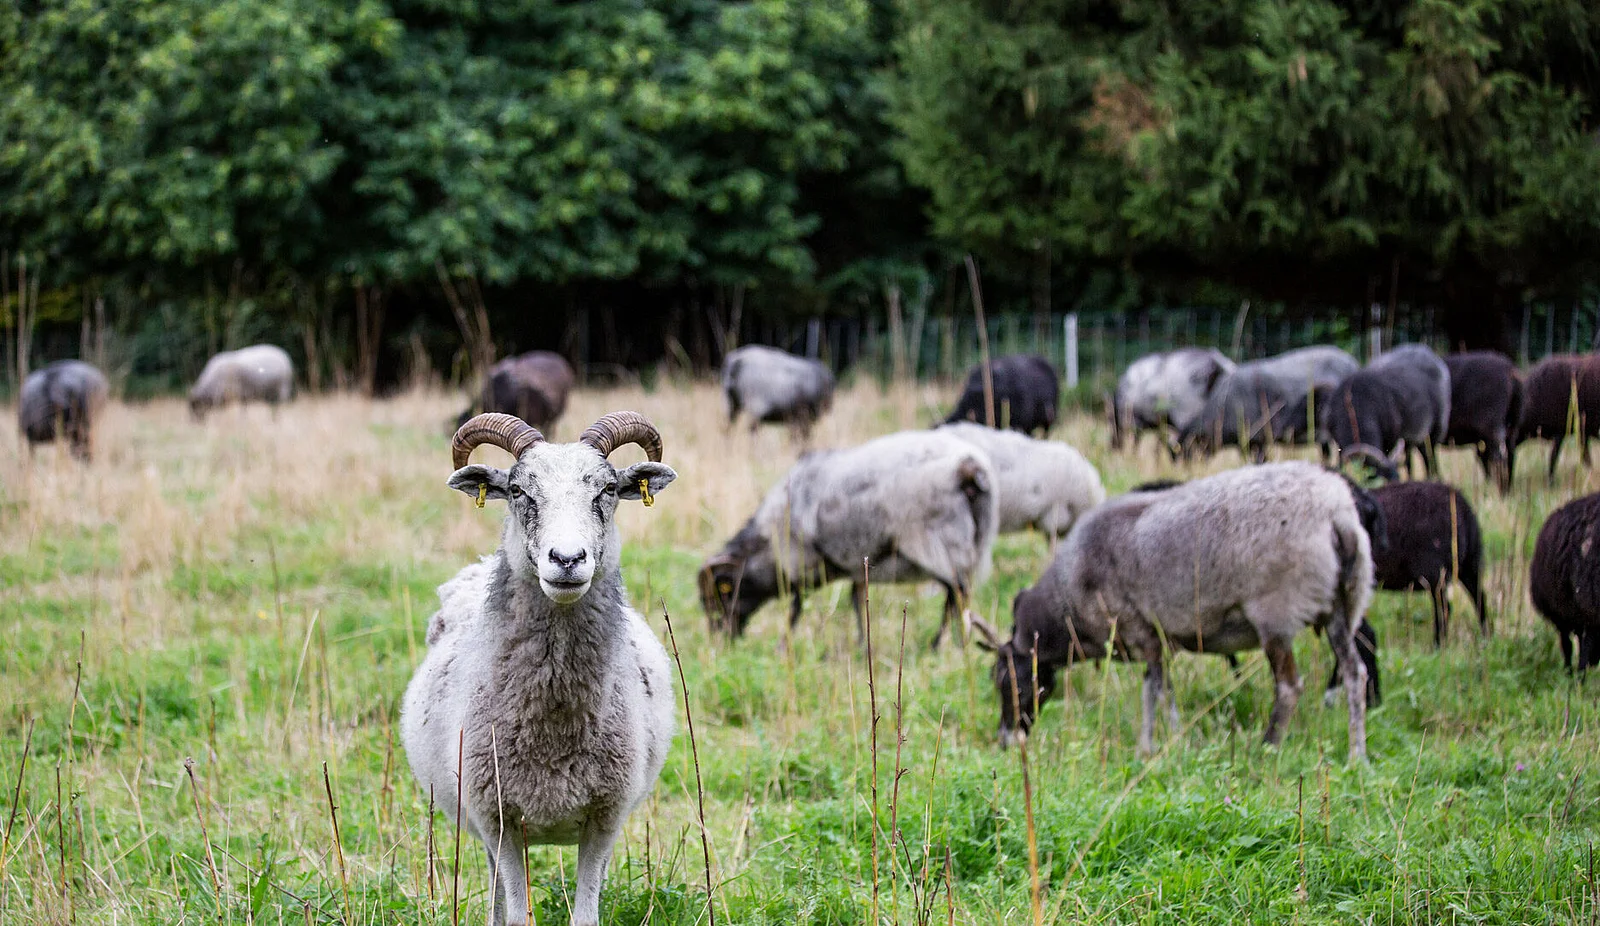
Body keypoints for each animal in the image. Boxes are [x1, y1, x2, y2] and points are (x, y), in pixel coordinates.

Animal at [400, 411, 678, 926]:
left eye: (607, 490)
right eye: (518, 491)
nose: (567, 559)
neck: (555, 725)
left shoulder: (604, 818)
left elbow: (586, 915)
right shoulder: (498, 818)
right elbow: (515, 914)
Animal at [699, 430, 998, 648]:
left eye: (721, 594)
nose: (721, 639)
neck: (767, 548)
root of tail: (967, 469)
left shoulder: (803, 562)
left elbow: (796, 607)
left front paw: (783, 646)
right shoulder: (856, 565)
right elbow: (856, 601)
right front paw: (862, 644)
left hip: (939, 544)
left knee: (957, 593)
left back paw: (944, 644)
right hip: (968, 543)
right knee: (958, 595)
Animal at [968, 462, 1374, 761]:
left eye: (1007, 680)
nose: (1006, 740)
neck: (1068, 602)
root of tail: (1337, 515)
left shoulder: (1141, 631)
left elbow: (1163, 696)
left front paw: (1174, 743)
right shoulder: (1149, 639)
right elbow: (1151, 692)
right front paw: (1145, 751)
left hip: (1276, 615)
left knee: (1289, 687)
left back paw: (1268, 747)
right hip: (1343, 604)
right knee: (1355, 674)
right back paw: (1358, 757)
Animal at [1367, 481, 1486, 645]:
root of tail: (1462, 506)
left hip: (1435, 571)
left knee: (1444, 608)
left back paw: (1438, 645)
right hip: (1469, 562)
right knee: (1479, 598)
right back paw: (1487, 639)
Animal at [1442, 352, 1523, 493]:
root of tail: (1511, 372)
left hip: (1492, 424)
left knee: (1499, 457)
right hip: (1511, 424)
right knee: (1509, 454)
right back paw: (1505, 490)